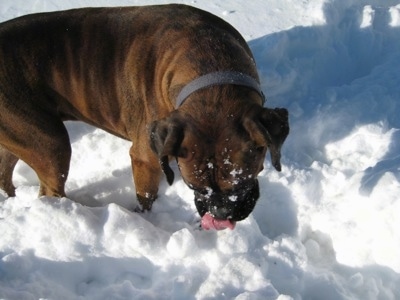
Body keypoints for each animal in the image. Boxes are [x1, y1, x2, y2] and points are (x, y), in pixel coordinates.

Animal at [0, 4, 290, 230]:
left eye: (242, 184)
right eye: (193, 187)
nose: (219, 215)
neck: (210, 66)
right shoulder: (146, 157)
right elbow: (146, 196)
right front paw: (145, 219)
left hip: (22, 136)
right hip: (51, 145)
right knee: (50, 190)